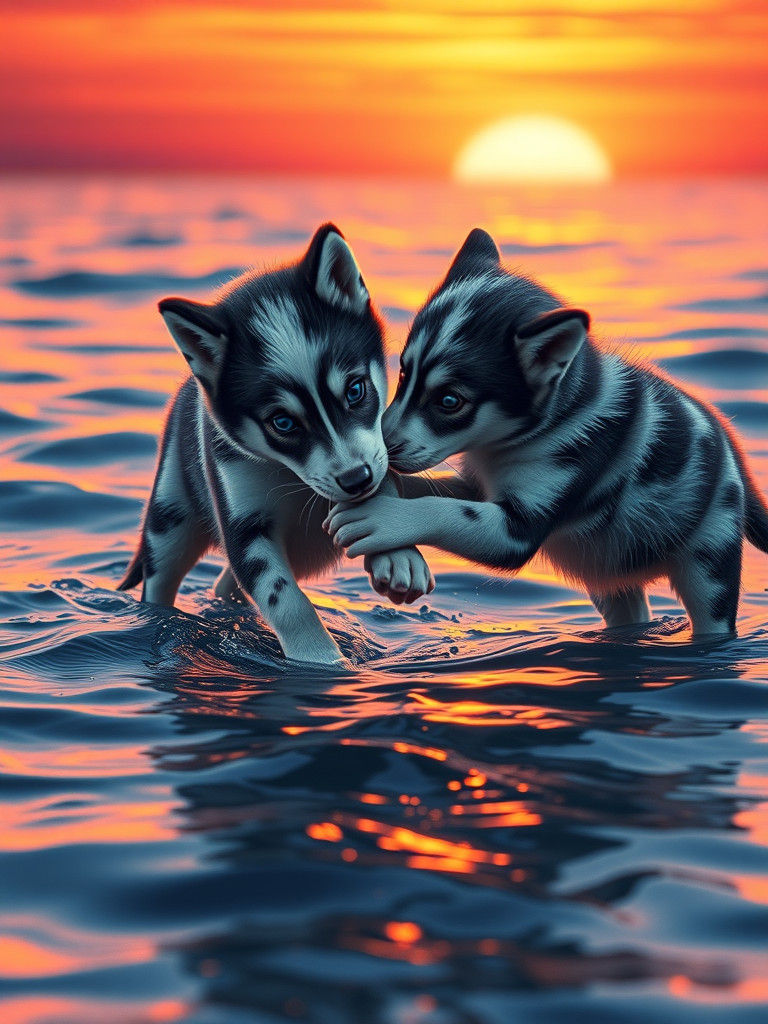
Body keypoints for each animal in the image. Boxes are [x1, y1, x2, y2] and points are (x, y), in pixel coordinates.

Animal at [118, 224, 435, 665]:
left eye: (355, 390)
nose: (356, 479)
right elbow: (284, 599)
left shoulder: (375, 456)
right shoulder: (245, 523)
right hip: (169, 518)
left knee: (225, 585)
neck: (291, 477)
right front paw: (322, 660)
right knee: (162, 579)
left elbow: (381, 493)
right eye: (283, 423)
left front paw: (400, 556)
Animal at [325, 227, 768, 636]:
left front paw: (384, 517)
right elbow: (435, 491)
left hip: (709, 562)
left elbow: (447, 511)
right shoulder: (482, 486)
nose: (383, 446)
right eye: (403, 374)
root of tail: (728, 444)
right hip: (608, 578)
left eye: (450, 401)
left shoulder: (519, 527)